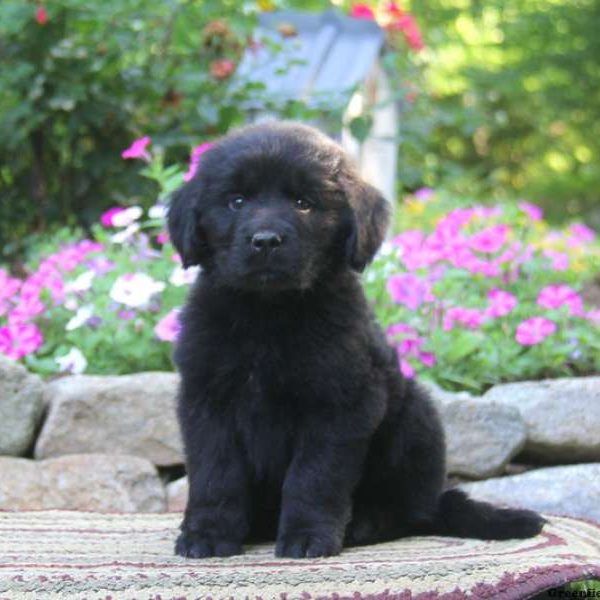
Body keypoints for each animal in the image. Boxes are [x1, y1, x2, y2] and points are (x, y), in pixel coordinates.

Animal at [166, 120, 548, 556]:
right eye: (236, 201)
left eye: (303, 203)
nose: (265, 240)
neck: (269, 315)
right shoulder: (207, 401)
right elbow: (216, 475)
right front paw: (207, 534)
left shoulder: (340, 404)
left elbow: (314, 476)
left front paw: (307, 536)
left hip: (416, 417)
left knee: (412, 513)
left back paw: (364, 525)